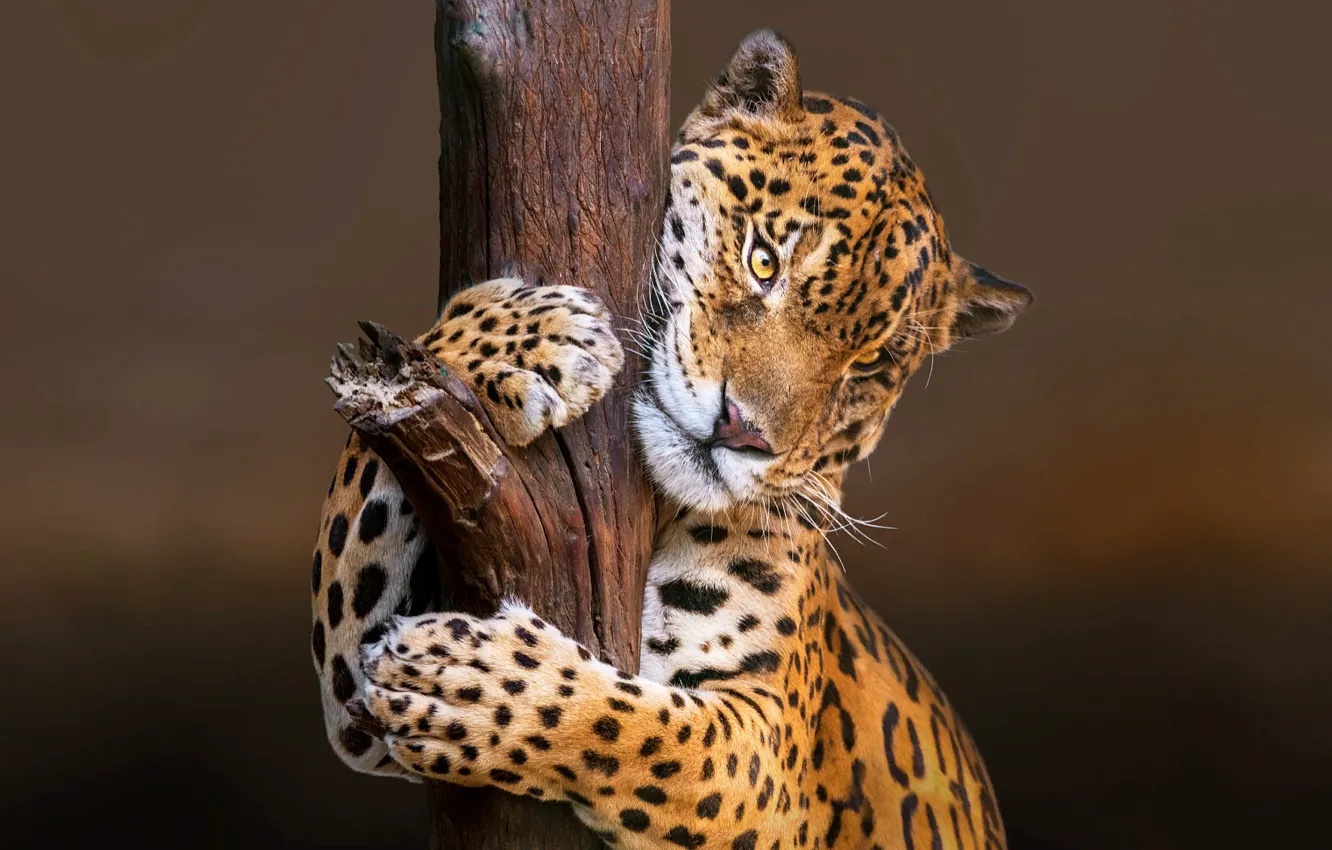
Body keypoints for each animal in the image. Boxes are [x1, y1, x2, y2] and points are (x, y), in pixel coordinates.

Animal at [310, 30, 1031, 850]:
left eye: (869, 367)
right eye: (762, 260)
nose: (742, 431)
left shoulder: (772, 762)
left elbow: (643, 736)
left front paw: (465, 686)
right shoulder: (348, 682)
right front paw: (523, 337)